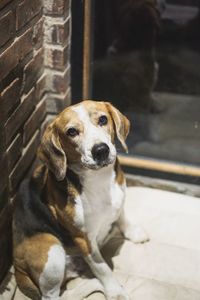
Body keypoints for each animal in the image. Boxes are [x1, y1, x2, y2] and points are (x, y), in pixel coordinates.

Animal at [12, 101, 147, 300]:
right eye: (72, 132)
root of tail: (16, 268)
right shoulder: (84, 240)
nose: (101, 150)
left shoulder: (120, 200)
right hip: (52, 251)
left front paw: (133, 232)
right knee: (51, 296)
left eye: (103, 119)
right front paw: (115, 291)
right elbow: (103, 268)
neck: (99, 180)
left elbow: (122, 216)